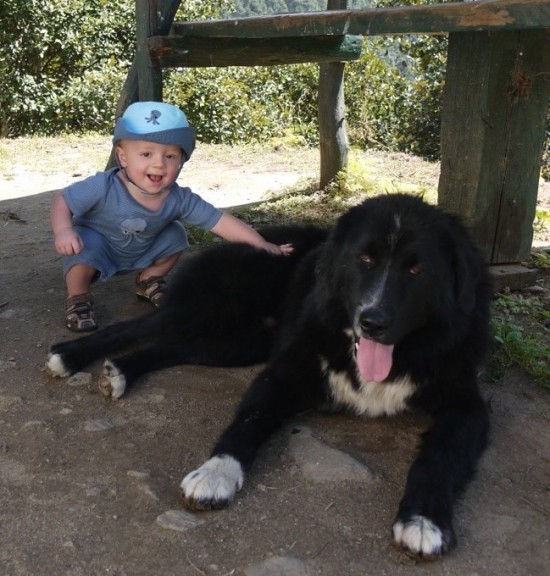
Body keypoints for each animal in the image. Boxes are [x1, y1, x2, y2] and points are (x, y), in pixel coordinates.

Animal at [48, 195, 492, 560]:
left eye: (416, 269)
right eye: (364, 259)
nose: (373, 322)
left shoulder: (467, 407)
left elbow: (438, 457)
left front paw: (424, 520)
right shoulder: (284, 372)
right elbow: (247, 421)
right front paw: (216, 474)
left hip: (239, 343)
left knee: (171, 349)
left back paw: (120, 372)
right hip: (208, 310)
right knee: (136, 327)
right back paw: (71, 356)